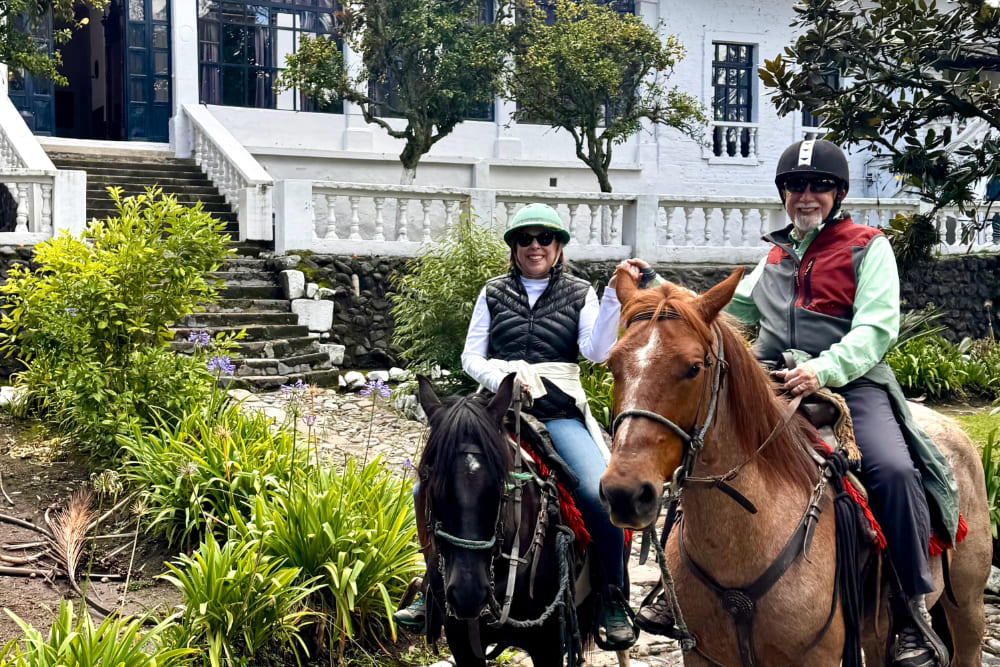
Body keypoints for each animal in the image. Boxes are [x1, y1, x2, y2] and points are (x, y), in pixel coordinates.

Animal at [596, 268, 988, 664]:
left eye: (693, 368)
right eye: (612, 365)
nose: (625, 494)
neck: (745, 536)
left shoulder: (817, 658)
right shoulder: (703, 656)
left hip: (967, 606)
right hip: (876, 634)